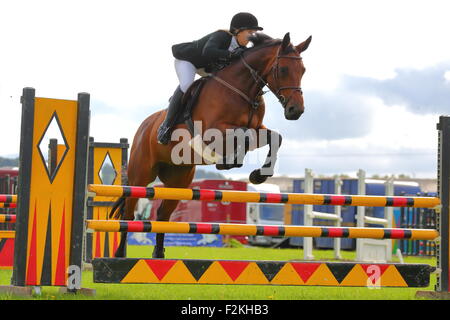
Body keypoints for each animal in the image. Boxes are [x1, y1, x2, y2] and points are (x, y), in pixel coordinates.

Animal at [110, 31, 312, 258]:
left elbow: (275, 138)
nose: (296, 110)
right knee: (128, 211)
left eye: (303, 70)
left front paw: (257, 175)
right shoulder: (212, 131)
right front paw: (231, 162)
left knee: (162, 214)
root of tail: (143, 127)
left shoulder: (258, 128)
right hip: (141, 174)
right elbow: (243, 135)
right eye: (284, 69)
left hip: (179, 179)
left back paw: (159, 255)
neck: (244, 89)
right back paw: (119, 254)